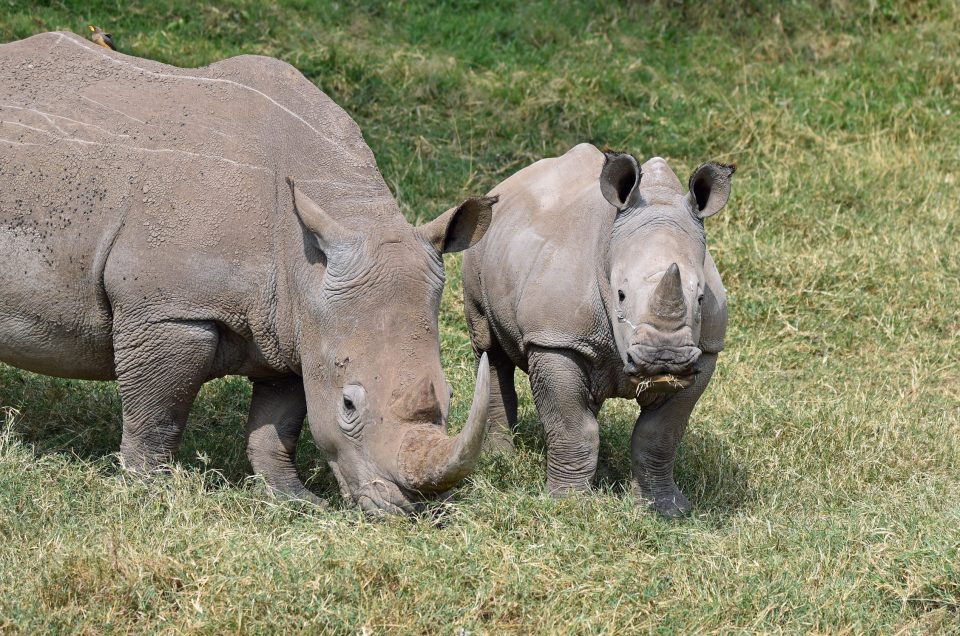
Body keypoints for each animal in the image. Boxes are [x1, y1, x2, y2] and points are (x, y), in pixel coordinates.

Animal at [0, 32, 496, 515]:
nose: (413, 507)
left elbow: (277, 426)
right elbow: (157, 415)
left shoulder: (296, 325)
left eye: (450, 396)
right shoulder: (170, 311)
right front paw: (149, 492)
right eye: (348, 404)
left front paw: (296, 500)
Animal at [463, 143, 733, 517]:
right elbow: (572, 427)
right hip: (479, 241)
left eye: (702, 297)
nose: (664, 359)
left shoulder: (706, 349)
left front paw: (665, 509)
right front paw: (568, 504)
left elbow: (659, 436)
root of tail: (510, 180)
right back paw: (499, 458)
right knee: (489, 347)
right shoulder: (555, 340)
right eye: (620, 294)